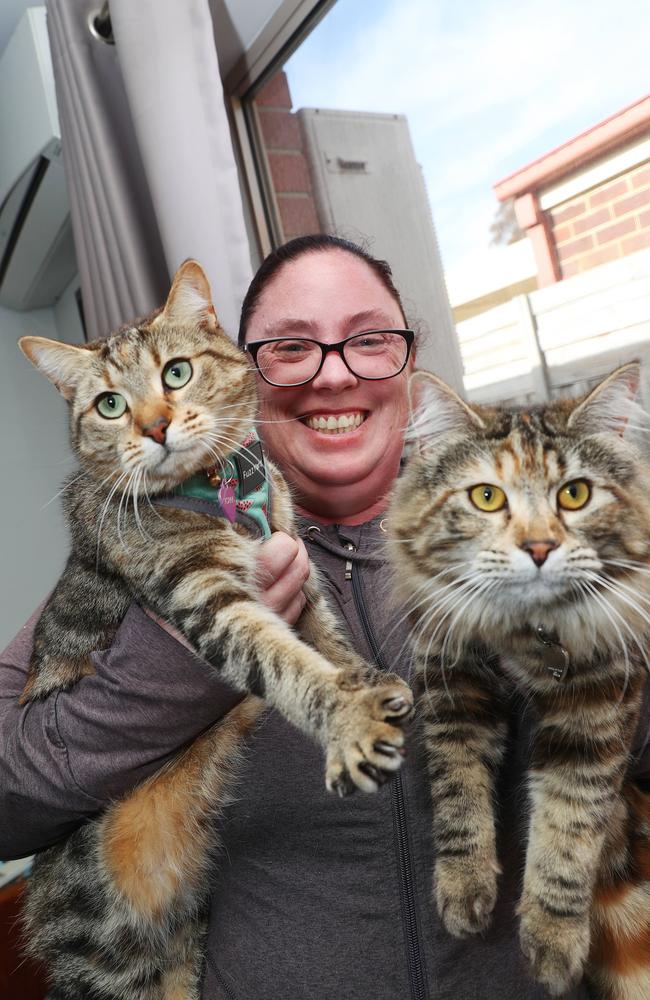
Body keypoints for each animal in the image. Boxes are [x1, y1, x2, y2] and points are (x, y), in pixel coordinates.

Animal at [17, 260, 410, 1000]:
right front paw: (348, 718)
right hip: (108, 964)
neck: (228, 489)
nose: (156, 426)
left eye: (176, 373)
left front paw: (365, 681)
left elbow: (330, 642)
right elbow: (288, 665)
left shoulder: (299, 573)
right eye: (109, 405)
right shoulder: (206, 596)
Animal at [388, 368, 644, 1000]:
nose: (538, 547)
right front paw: (463, 887)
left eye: (574, 495)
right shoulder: (451, 680)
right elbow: (457, 791)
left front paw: (554, 940)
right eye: (486, 497)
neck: (524, 637)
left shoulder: (598, 702)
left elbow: (570, 820)